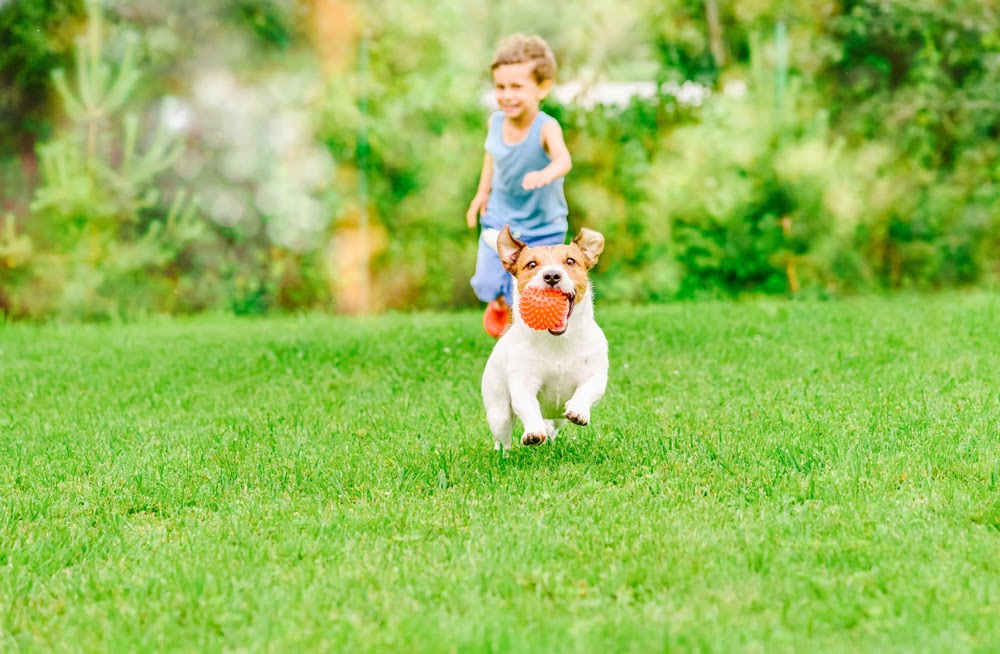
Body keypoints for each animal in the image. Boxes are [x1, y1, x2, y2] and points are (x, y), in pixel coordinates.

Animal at [478, 226, 604, 452]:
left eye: (570, 261)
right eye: (531, 264)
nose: (552, 275)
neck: (557, 342)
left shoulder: (596, 373)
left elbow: (589, 389)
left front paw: (578, 410)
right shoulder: (523, 382)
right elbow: (528, 407)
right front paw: (534, 432)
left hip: (557, 418)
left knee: (553, 425)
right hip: (498, 411)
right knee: (502, 437)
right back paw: (504, 454)